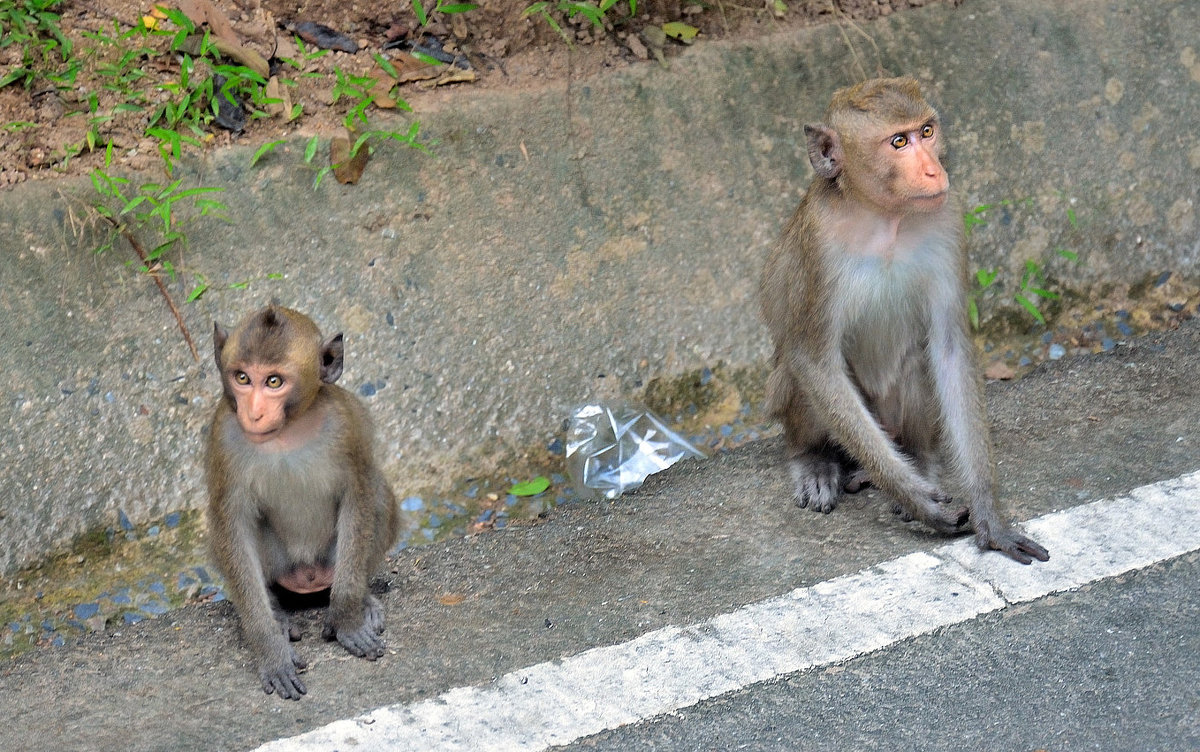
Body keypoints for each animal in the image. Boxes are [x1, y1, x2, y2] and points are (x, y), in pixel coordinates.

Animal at [201, 304, 398, 700]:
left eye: (274, 382)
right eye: (242, 377)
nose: (253, 413)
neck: (286, 433)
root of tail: (308, 576)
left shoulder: (345, 426)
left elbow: (358, 494)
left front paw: (347, 619)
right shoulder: (223, 435)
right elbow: (232, 524)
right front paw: (271, 649)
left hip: (329, 561)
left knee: (377, 491)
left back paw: (363, 602)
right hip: (280, 565)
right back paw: (277, 613)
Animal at [758, 77, 1051, 566]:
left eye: (927, 132)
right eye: (899, 142)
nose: (934, 171)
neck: (885, 217)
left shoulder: (949, 218)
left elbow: (949, 348)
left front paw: (988, 514)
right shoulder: (818, 241)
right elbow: (813, 360)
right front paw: (915, 499)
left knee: (919, 359)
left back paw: (919, 458)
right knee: (801, 376)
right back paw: (817, 460)